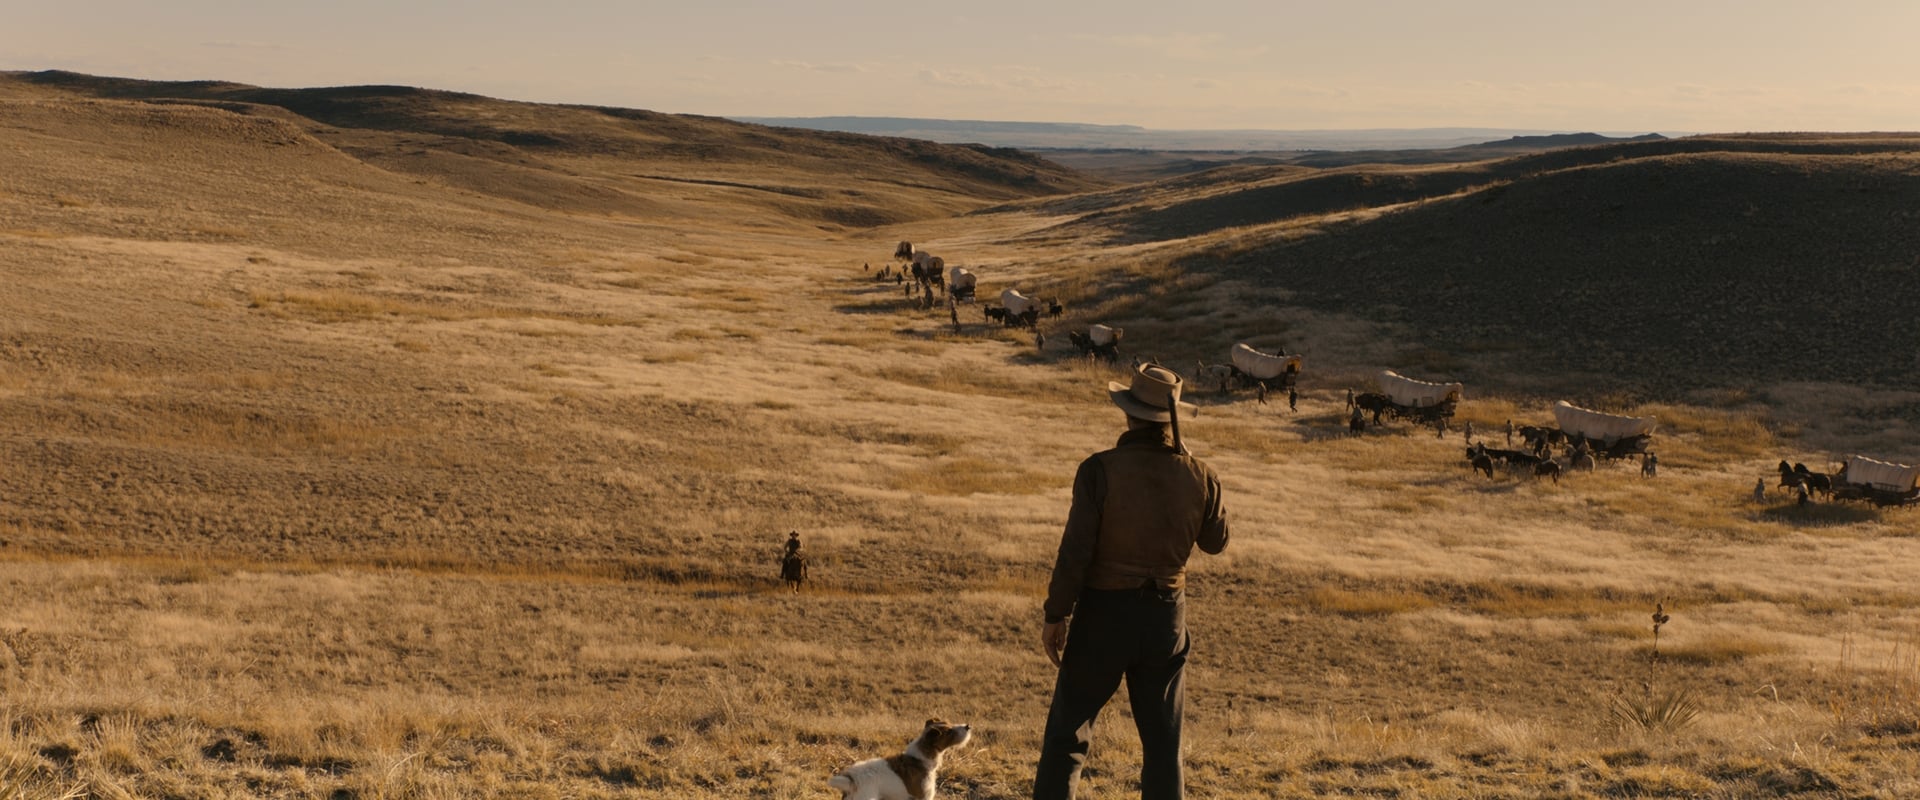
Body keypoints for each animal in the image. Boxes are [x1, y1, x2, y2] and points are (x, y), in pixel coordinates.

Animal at [828, 718, 971, 800]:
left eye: (949, 723)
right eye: (949, 732)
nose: (968, 726)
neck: (920, 759)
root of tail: (851, 779)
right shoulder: (923, 797)